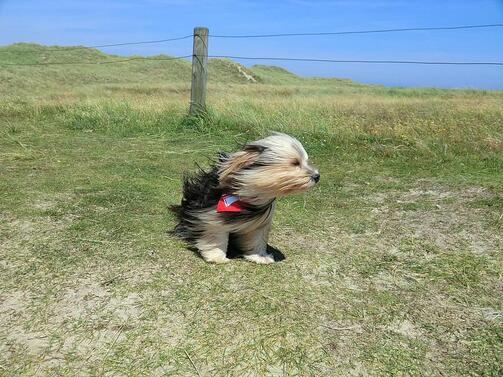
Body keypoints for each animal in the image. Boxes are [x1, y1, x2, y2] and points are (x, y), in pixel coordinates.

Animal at [171, 134, 320, 262]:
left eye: (306, 161)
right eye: (295, 163)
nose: (317, 176)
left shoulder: (259, 223)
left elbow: (256, 238)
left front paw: (259, 257)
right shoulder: (210, 215)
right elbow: (215, 235)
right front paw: (217, 256)